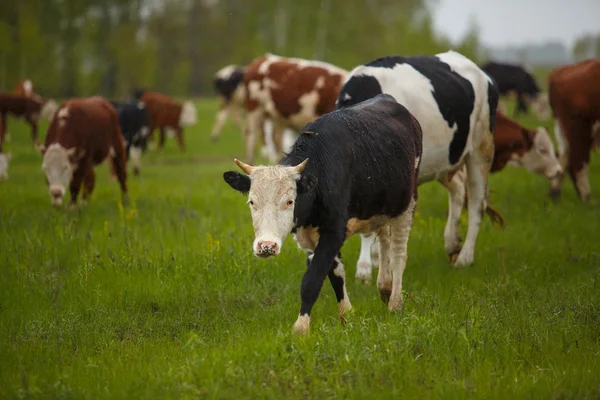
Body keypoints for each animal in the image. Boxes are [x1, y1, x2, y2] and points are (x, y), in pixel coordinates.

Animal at [223, 94, 424, 334]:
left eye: (290, 201)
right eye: (252, 202)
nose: (266, 246)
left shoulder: (334, 231)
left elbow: (312, 279)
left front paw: (301, 327)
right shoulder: (310, 237)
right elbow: (335, 274)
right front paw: (347, 315)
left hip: (407, 203)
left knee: (398, 253)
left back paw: (395, 303)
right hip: (382, 209)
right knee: (385, 239)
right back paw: (385, 288)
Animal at [338, 49, 502, 278]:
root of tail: (482, 73)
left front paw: (367, 269)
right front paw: (375, 262)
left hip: (482, 146)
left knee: (478, 201)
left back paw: (465, 258)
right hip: (444, 159)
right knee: (458, 187)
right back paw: (452, 243)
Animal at [356, 110, 564, 278]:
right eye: (543, 149)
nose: (559, 170)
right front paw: (368, 266)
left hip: (472, 158)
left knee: (475, 201)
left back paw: (461, 254)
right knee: (462, 191)